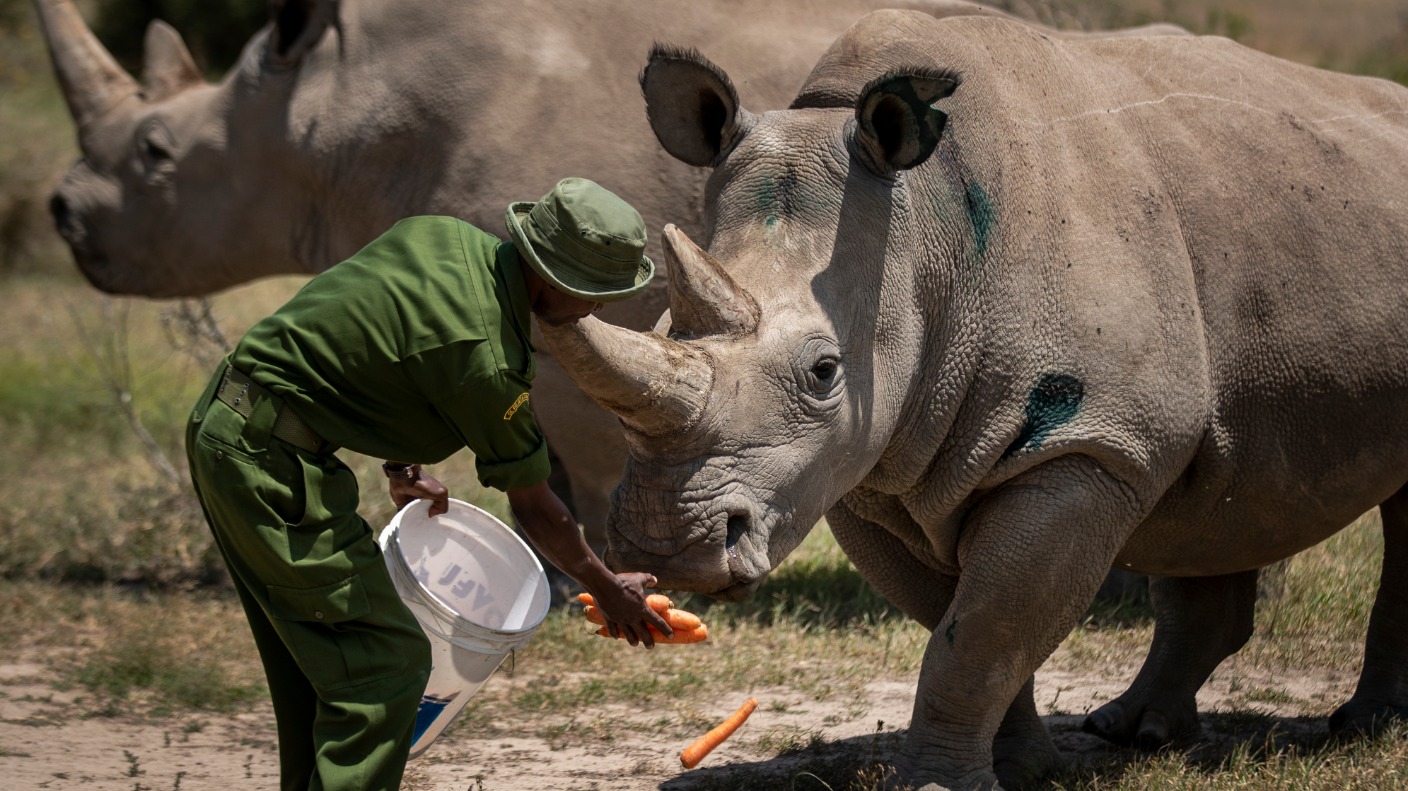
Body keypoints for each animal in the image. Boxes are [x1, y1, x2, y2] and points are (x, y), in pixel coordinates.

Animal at [538, 10, 1408, 789]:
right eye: (661, 326)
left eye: (824, 371)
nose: (666, 545)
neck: (924, 237)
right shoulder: (871, 468)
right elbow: (963, 627)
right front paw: (1019, 768)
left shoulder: (1087, 444)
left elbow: (981, 632)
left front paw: (937, 785)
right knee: (1218, 487)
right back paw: (1136, 732)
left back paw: (1362, 729)